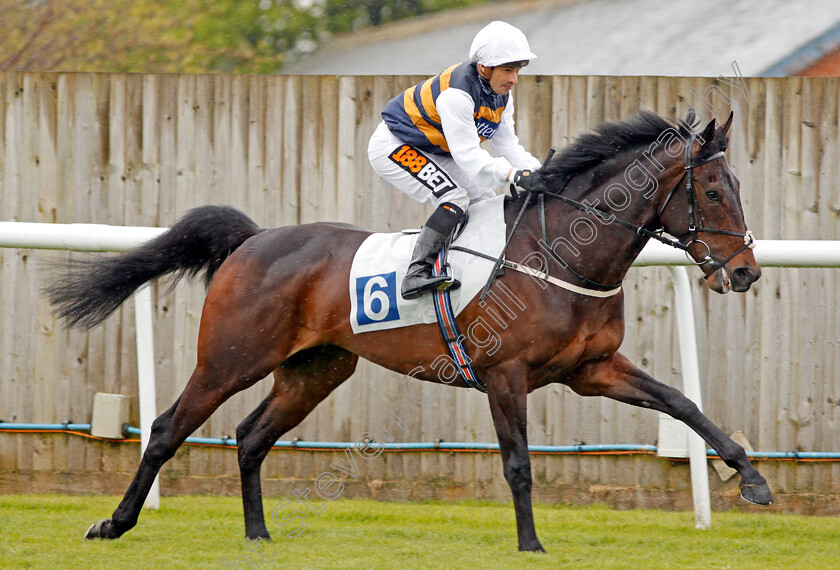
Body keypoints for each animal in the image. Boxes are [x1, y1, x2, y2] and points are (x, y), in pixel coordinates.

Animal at [44, 108, 768, 548]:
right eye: (711, 192)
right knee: (169, 427)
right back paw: (115, 523)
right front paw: (531, 543)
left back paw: (258, 534)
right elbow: (518, 461)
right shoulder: (505, 375)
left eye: (737, 188)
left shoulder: (592, 370)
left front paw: (752, 479)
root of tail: (252, 240)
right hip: (229, 358)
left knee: (250, 437)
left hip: (316, 369)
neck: (559, 253)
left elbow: (683, 404)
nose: (745, 273)